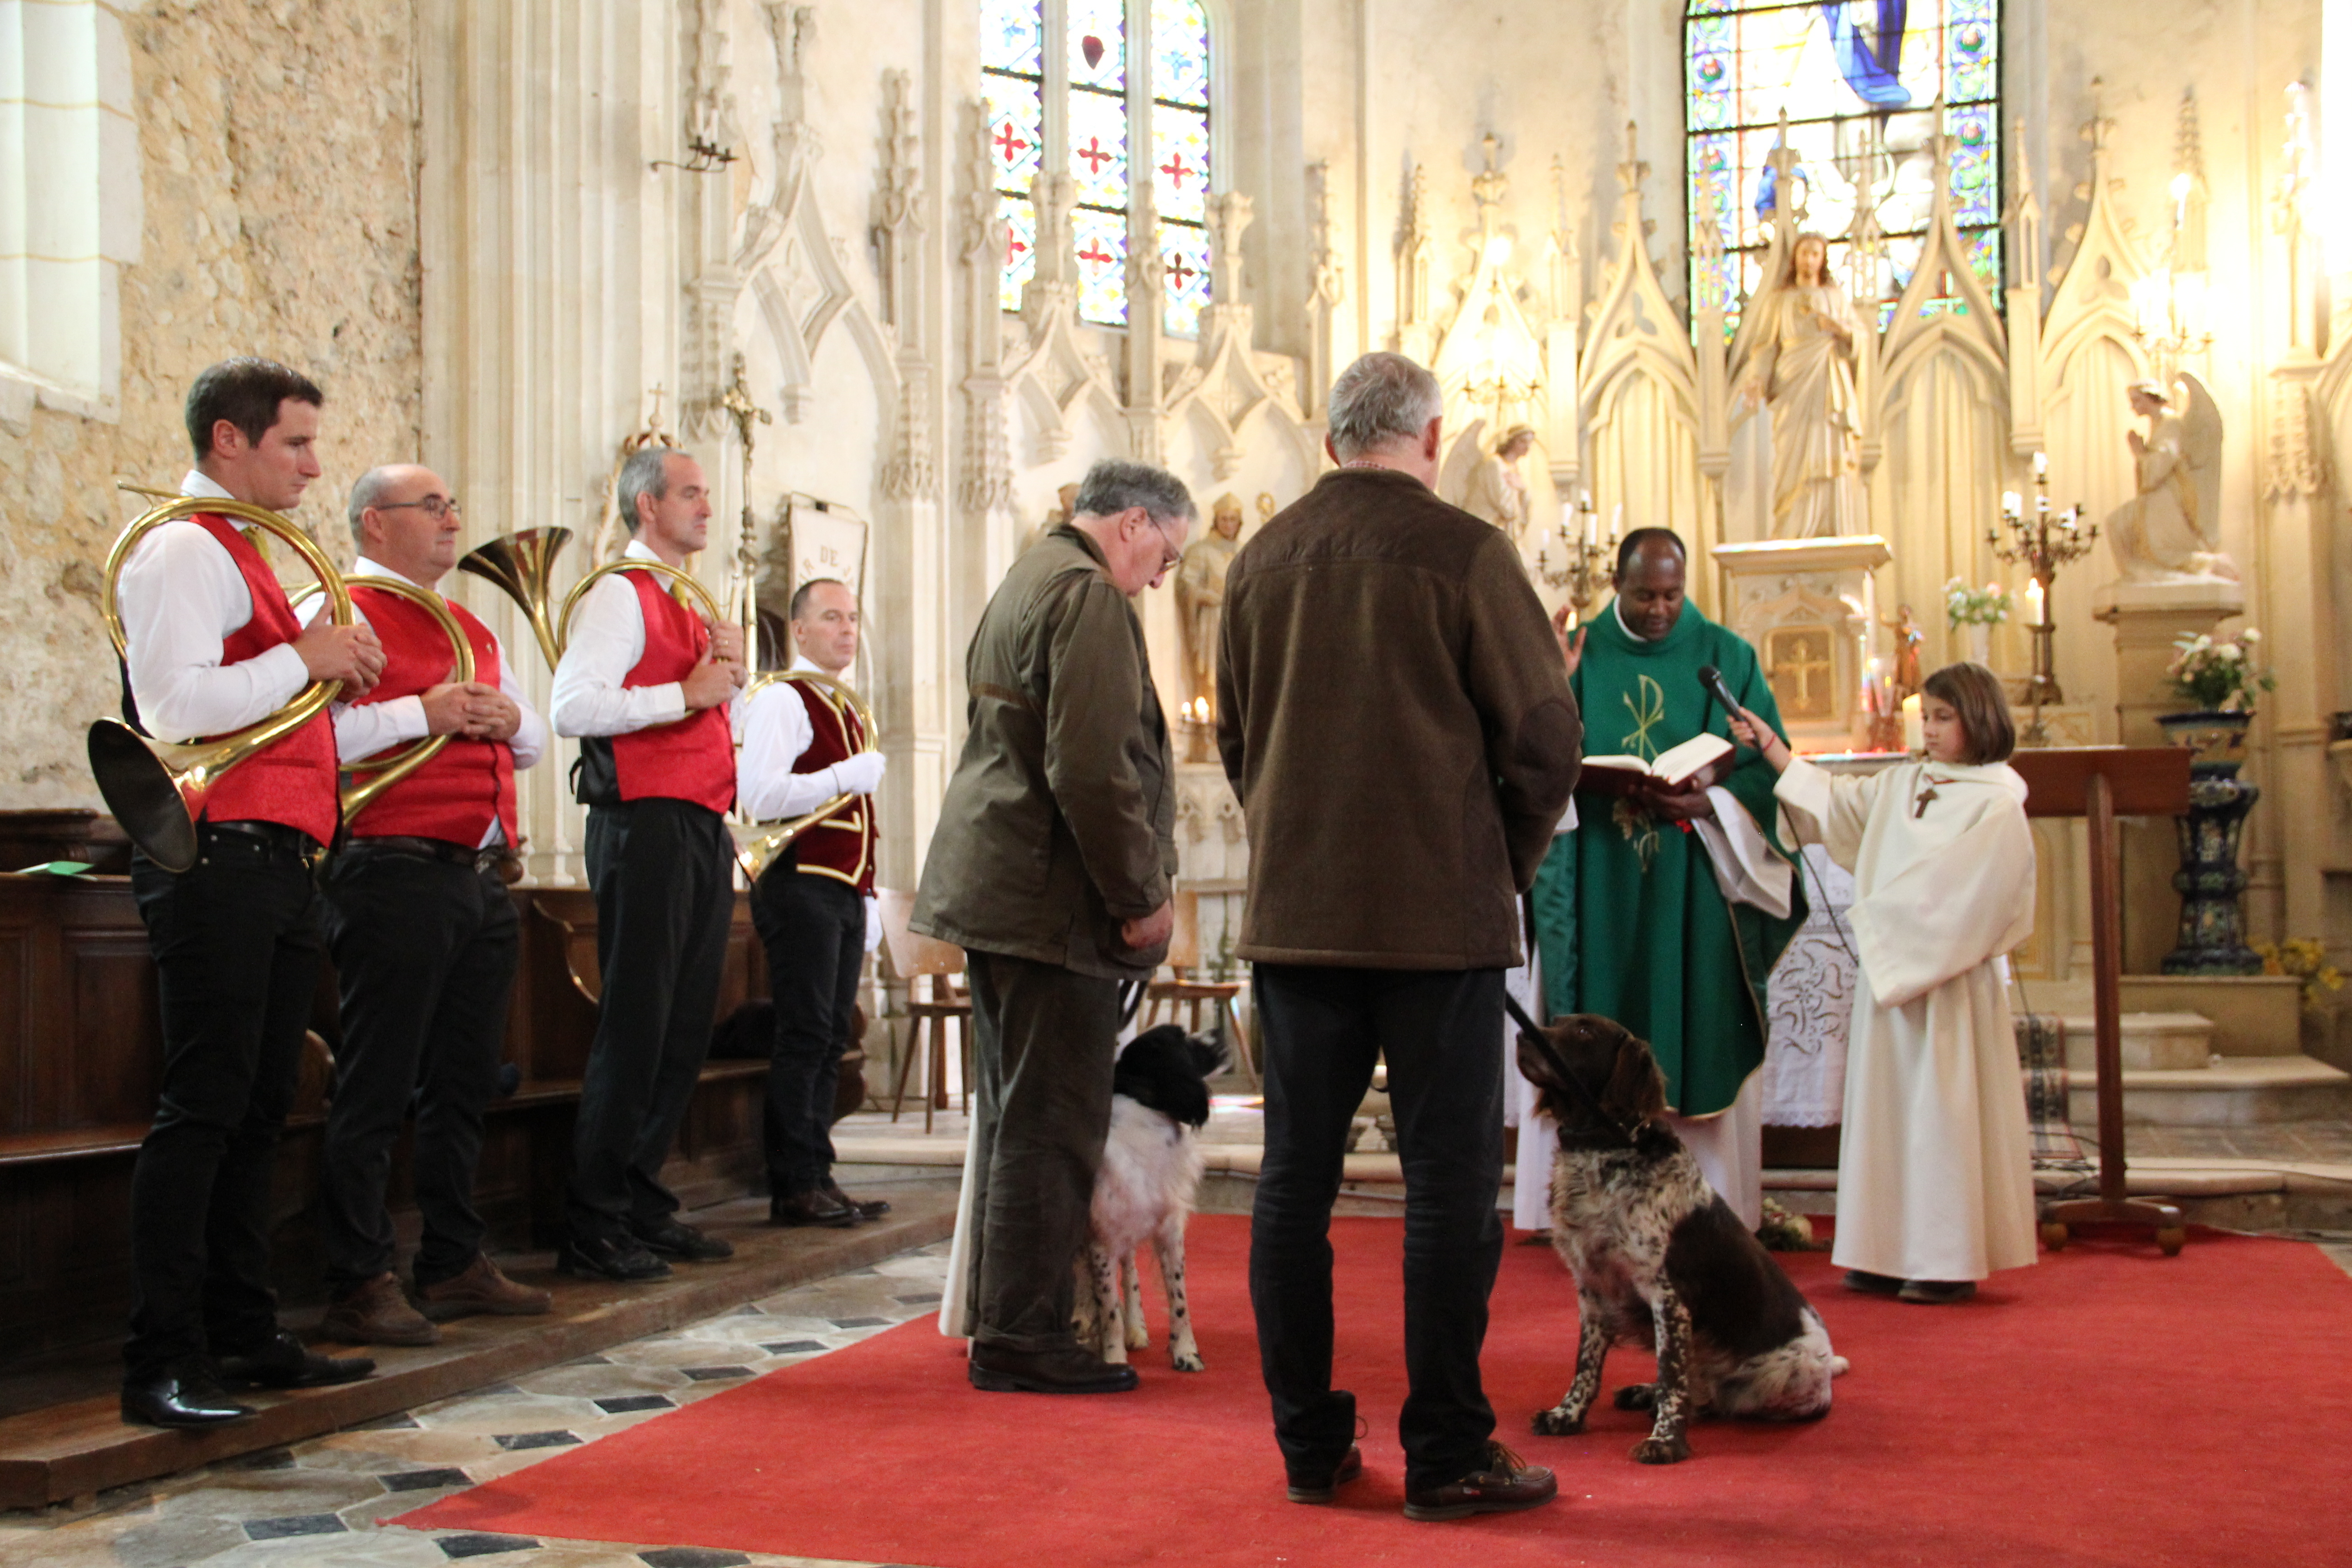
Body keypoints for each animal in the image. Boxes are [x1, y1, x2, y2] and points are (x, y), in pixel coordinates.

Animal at [1077, 1025, 1223, 1363]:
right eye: (1182, 1037)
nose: (1218, 1030)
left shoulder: (1170, 1230)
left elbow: (1178, 1298)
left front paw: (1186, 1353)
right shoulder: (1102, 1241)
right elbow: (1108, 1310)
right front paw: (1114, 1359)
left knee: (1130, 1275)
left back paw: (1136, 1329)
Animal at [1514, 1011, 1844, 1467]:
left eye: (1584, 1032)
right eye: (1556, 1021)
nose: (1519, 1036)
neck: (1604, 1150)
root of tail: (1829, 1365)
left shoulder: (1668, 1296)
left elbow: (1672, 1376)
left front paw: (1665, 1441)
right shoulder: (1592, 1290)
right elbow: (1587, 1365)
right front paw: (1567, 1415)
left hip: (1786, 1375)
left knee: (1717, 1398)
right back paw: (1643, 1394)